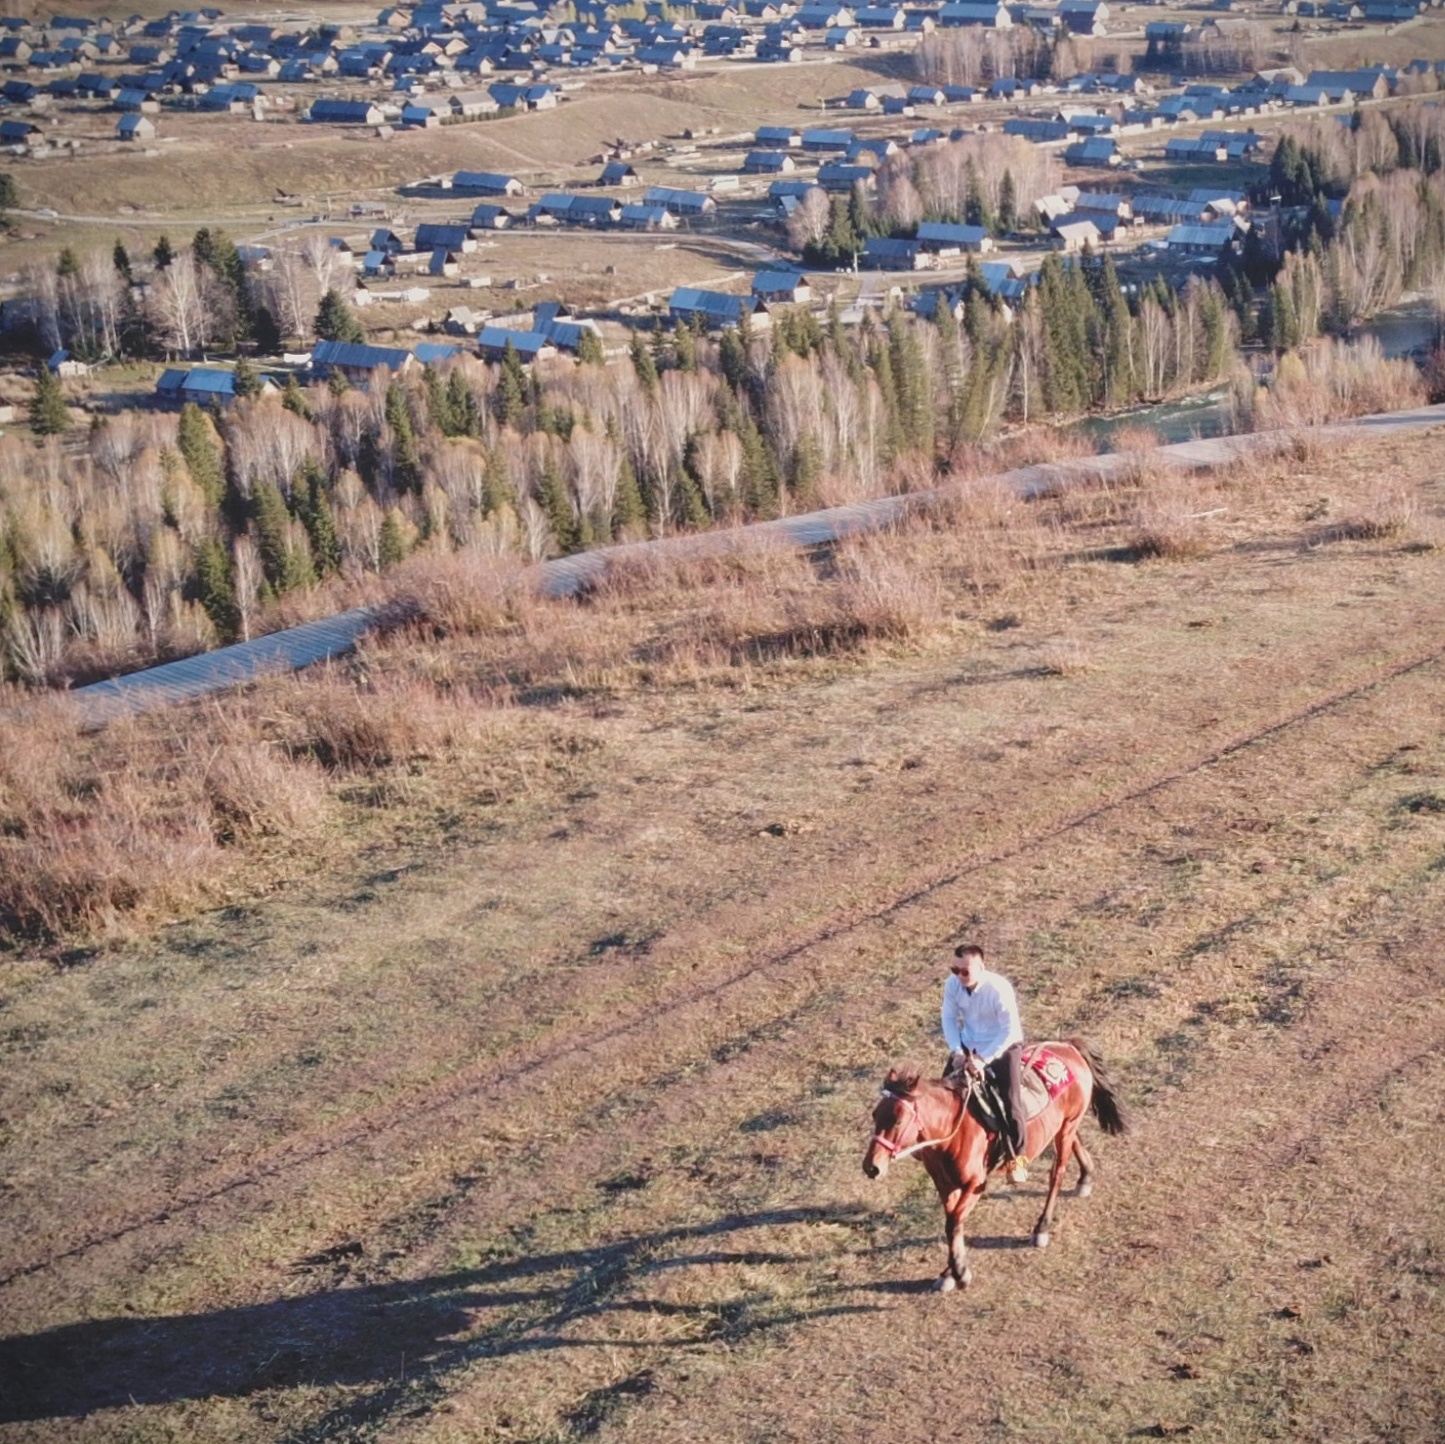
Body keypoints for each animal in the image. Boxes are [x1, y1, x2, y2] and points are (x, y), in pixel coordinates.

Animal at [855, 1046, 1127, 1295]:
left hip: (1067, 1126)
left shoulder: (975, 1184)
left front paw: (960, 1273)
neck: (955, 1129)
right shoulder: (945, 1184)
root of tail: (1069, 1047)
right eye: (875, 1114)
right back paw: (1085, 1177)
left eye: (898, 1120)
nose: (871, 1167)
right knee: (1076, 1143)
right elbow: (953, 1222)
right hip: (1064, 1127)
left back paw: (1042, 1228)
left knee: (1056, 1174)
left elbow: (953, 1222)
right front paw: (949, 1273)